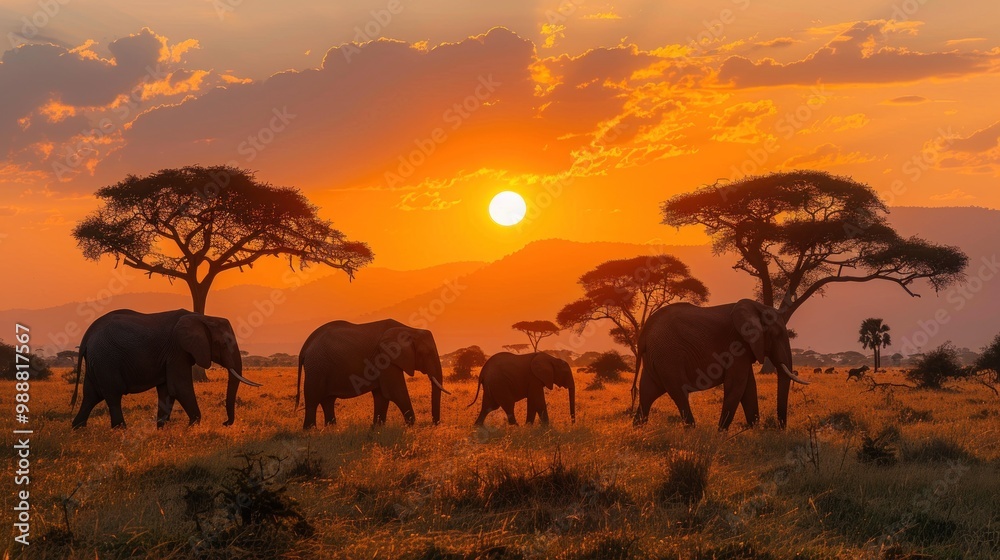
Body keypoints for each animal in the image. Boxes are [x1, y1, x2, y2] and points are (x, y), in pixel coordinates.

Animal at [71, 309, 261, 429]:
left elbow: (167, 391)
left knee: (91, 395)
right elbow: (180, 387)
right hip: (106, 359)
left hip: (98, 361)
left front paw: (162, 428)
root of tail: (87, 336)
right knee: (112, 394)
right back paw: (120, 430)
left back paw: (78, 428)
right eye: (223, 344)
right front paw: (192, 426)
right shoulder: (177, 350)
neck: (204, 317)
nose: (225, 423)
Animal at [296, 319, 448, 429]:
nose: (434, 424)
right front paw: (411, 425)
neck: (410, 329)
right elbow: (395, 392)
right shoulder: (385, 358)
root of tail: (305, 346)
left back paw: (331, 428)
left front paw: (377, 428)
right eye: (425, 353)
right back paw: (310, 430)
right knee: (313, 398)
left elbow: (382, 395)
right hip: (316, 368)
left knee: (328, 400)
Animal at [632, 299, 809, 430]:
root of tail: (643, 334)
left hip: (657, 358)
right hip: (668, 356)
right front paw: (721, 435)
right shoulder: (737, 345)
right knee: (679, 393)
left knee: (648, 393)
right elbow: (737, 385)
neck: (757, 308)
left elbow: (748, 387)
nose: (780, 429)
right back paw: (692, 431)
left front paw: (755, 430)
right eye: (777, 334)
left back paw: (638, 430)